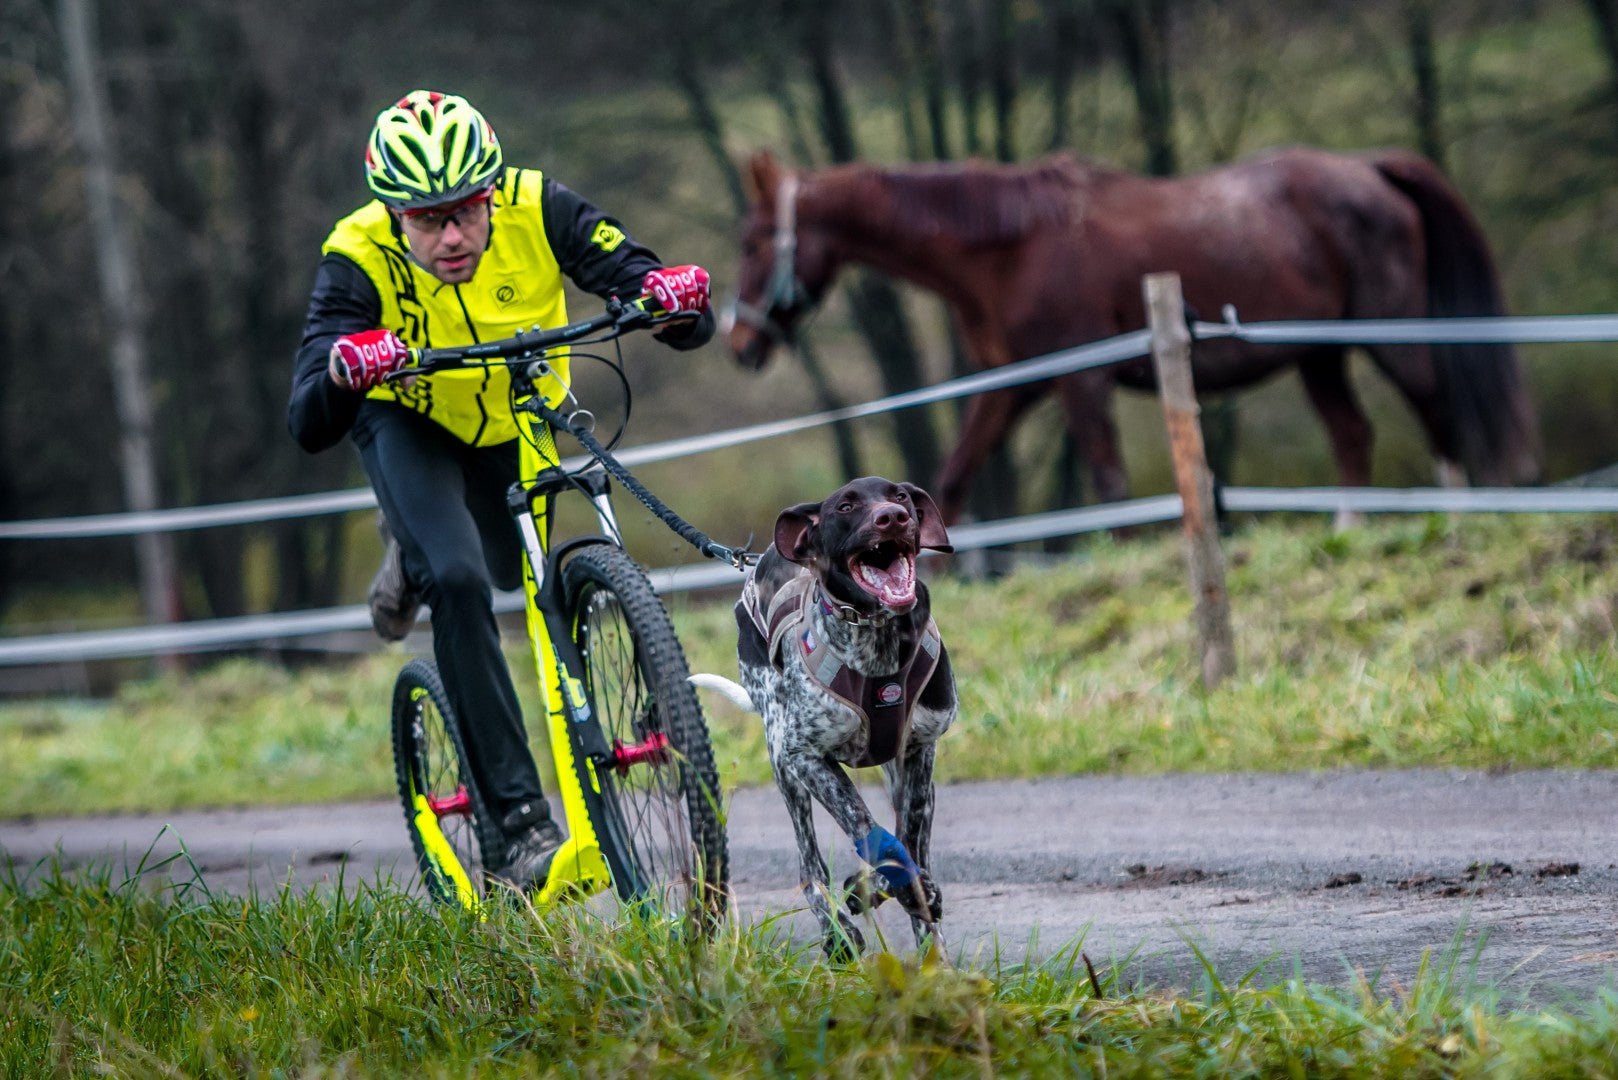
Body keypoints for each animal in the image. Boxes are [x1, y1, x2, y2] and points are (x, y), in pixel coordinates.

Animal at [698, 476, 951, 958]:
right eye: (845, 507)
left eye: (900, 496)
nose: (893, 517)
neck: (878, 642)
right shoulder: (806, 757)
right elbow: (863, 821)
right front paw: (895, 885)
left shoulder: (919, 752)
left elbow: (908, 838)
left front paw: (903, 898)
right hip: (783, 764)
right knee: (809, 868)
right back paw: (837, 932)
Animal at [728, 151, 1533, 524]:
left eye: (756, 239)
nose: (740, 344)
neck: (1010, 246)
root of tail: (1371, 168)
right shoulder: (1013, 388)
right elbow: (951, 482)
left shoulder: (1078, 381)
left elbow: (1110, 485)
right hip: (1317, 355)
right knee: (1353, 436)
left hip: (1388, 340)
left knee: (1438, 416)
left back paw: (1459, 519)